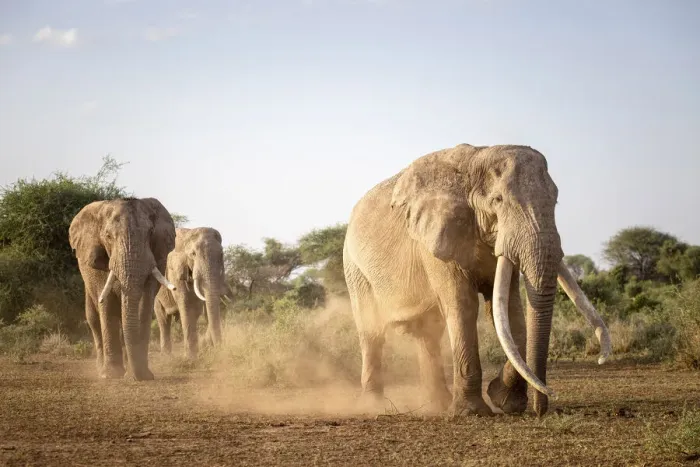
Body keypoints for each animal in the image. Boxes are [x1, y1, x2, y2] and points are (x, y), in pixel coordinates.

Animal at [69, 197, 177, 380]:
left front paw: (143, 374)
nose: (137, 377)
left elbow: (144, 303)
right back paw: (101, 369)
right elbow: (106, 303)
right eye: (108, 236)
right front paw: (111, 375)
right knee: (93, 318)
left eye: (150, 233)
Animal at [153, 227, 226, 358]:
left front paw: (204, 347)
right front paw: (191, 358)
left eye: (221, 254)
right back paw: (166, 356)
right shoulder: (176, 271)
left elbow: (201, 309)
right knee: (163, 319)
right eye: (193, 254)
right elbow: (187, 306)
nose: (220, 351)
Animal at [342, 143, 612, 417]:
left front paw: (505, 401)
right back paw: (375, 405)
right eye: (497, 200)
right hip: (354, 268)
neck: (476, 160)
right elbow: (463, 305)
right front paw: (472, 412)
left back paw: (437, 404)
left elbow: (508, 310)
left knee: (428, 332)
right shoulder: (434, 242)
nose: (541, 409)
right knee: (372, 332)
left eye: (555, 200)